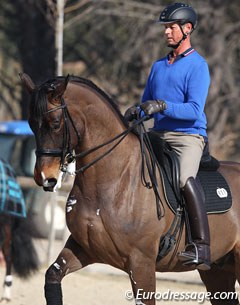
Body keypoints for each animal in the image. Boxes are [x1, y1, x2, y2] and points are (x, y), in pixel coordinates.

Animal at [19, 73, 240, 304]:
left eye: (55, 124)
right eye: (31, 124)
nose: (44, 177)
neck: (112, 181)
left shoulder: (141, 262)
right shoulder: (81, 248)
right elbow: (52, 274)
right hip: (217, 270)